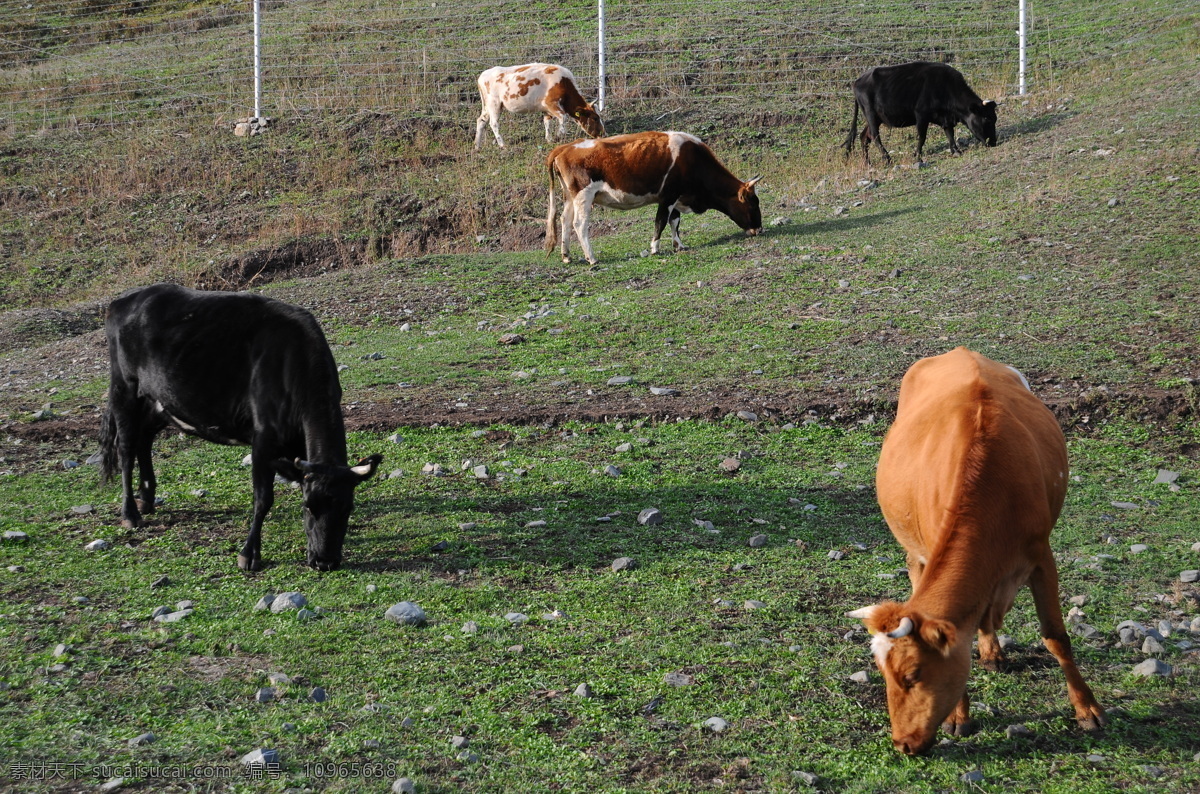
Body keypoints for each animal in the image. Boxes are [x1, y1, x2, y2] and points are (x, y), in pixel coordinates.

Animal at [97, 286, 379, 573]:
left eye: (347, 508)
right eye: (308, 506)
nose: (325, 561)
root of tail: (124, 299)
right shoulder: (263, 438)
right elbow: (263, 499)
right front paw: (249, 554)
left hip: (160, 399)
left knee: (144, 439)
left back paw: (146, 498)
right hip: (124, 387)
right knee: (126, 448)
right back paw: (130, 514)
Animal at [472, 63, 604, 149]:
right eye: (595, 118)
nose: (602, 133)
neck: (564, 82)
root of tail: (482, 75)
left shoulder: (547, 109)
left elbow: (547, 122)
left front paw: (549, 139)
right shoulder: (551, 104)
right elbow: (563, 117)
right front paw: (559, 136)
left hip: (487, 106)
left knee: (481, 120)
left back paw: (477, 145)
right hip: (494, 104)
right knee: (494, 123)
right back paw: (502, 144)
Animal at [544, 130, 758, 266]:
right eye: (752, 202)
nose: (759, 228)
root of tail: (565, 147)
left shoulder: (675, 198)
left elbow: (675, 222)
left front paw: (679, 245)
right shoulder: (668, 196)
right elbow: (661, 221)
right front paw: (655, 248)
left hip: (569, 196)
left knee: (565, 220)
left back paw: (566, 256)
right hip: (584, 195)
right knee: (579, 224)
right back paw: (592, 258)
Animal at [840, 62, 998, 166]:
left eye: (994, 118)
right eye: (986, 118)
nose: (993, 142)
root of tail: (858, 81)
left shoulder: (945, 118)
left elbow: (950, 133)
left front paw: (956, 151)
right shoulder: (921, 115)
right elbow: (922, 137)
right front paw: (918, 157)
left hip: (876, 118)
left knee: (864, 136)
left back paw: (867, 162)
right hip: (871, 114)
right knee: (874, 136)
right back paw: (887, 158)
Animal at [849, 350, 1099, 758]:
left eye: (913, 674)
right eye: (884, 674)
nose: (902, 743)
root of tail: (959, 352)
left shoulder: (1041, 554)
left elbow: (1056, 636)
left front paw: (1087, 709)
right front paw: (958, 717)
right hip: (915, 550)